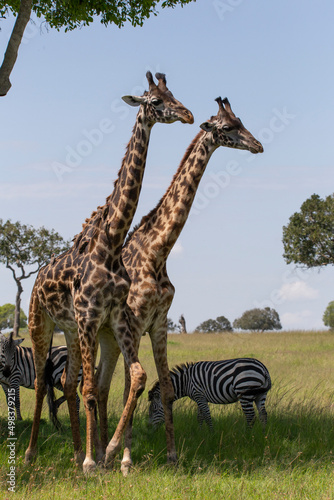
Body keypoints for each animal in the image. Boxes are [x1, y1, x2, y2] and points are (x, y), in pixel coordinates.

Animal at [24, 71, 193, 472]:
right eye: (155, 101)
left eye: (174, 94)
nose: (188, 114)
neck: (111, 242)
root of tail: (36, 277)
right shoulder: (90, 316)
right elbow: (92, 388)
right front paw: (93, 460)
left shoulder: (114, 317)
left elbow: (133, 377)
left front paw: (106, 452)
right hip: (41, 323)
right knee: (41, 381)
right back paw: (33, 453)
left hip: (70, 331)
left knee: (66, 381)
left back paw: (74, 452)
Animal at [94, 95, 264, 474]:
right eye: (228, 127)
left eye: (243, 122)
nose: (258, 145)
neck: (157, 252)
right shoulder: (134, 323)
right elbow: (131, 386)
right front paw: (125, 460)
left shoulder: (159, 323)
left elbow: (167, 391)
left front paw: (171, 456)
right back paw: (100, 453)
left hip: (108, 337)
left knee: (98, 385)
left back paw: (97, 452)